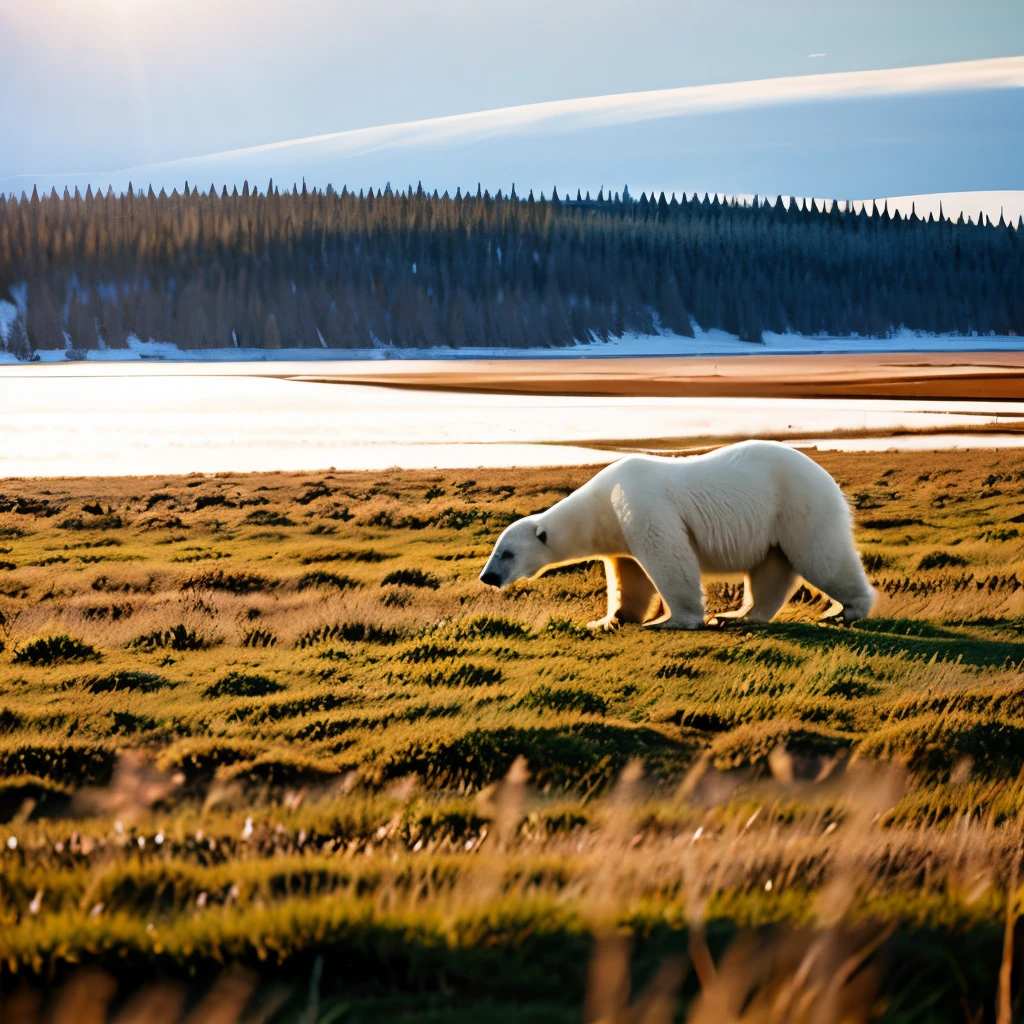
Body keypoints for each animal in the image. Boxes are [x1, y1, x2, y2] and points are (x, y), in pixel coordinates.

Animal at [477, 442, 872, 626]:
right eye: (496, 549)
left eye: (506, 553)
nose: (487, 577)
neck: (602, 500)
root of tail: (826, 477)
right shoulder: (616, 531)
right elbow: (629, 577)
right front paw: (608, 619)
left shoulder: (641, 505)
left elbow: (668, 558)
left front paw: (672, 620)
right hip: (773, 524)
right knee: (769, 570)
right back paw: (737, 615)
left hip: (798, 504)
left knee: (822, 556)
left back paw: (845, 610)